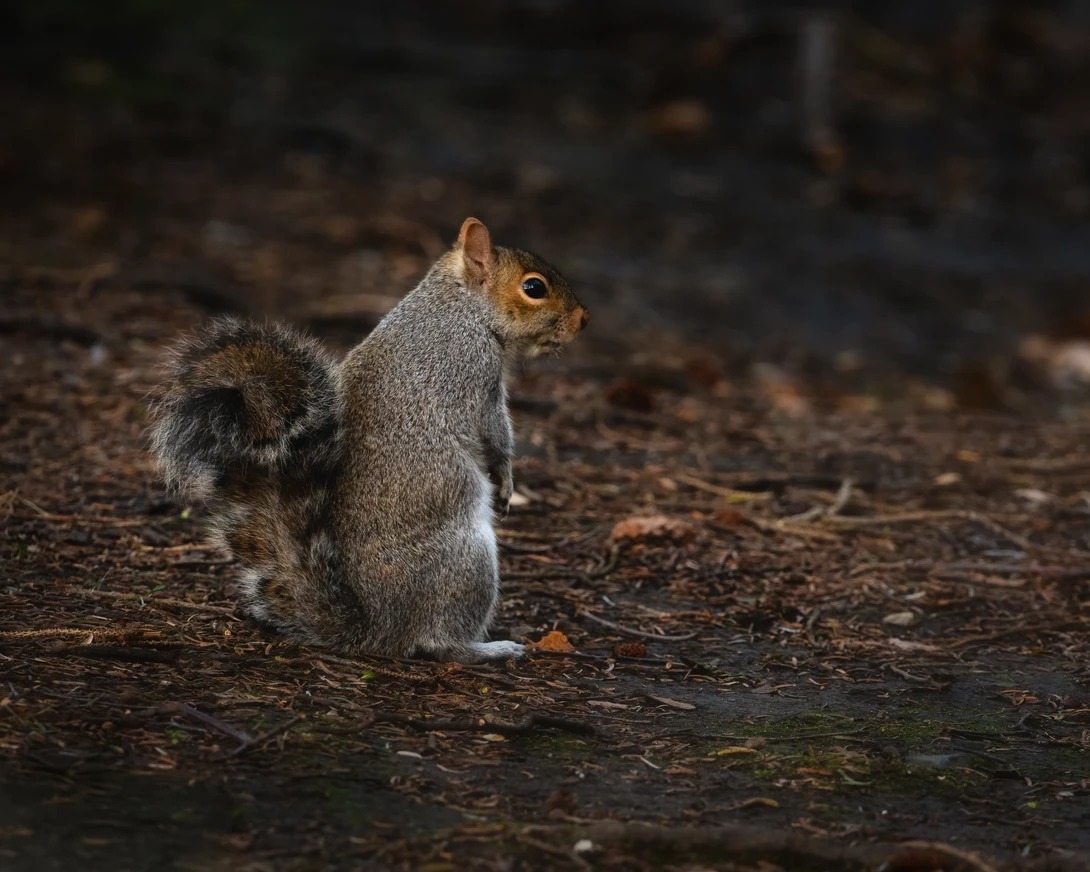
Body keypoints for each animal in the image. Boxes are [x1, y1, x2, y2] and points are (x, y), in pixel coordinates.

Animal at [151, 218, 589, 663]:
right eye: (534, 287)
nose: (584, 320)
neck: (460, 305)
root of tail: (376, 628)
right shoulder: (473, 373)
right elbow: (496, 432)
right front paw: (506, 480)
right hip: (468, 559)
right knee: (436, 642)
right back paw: (488, 649)